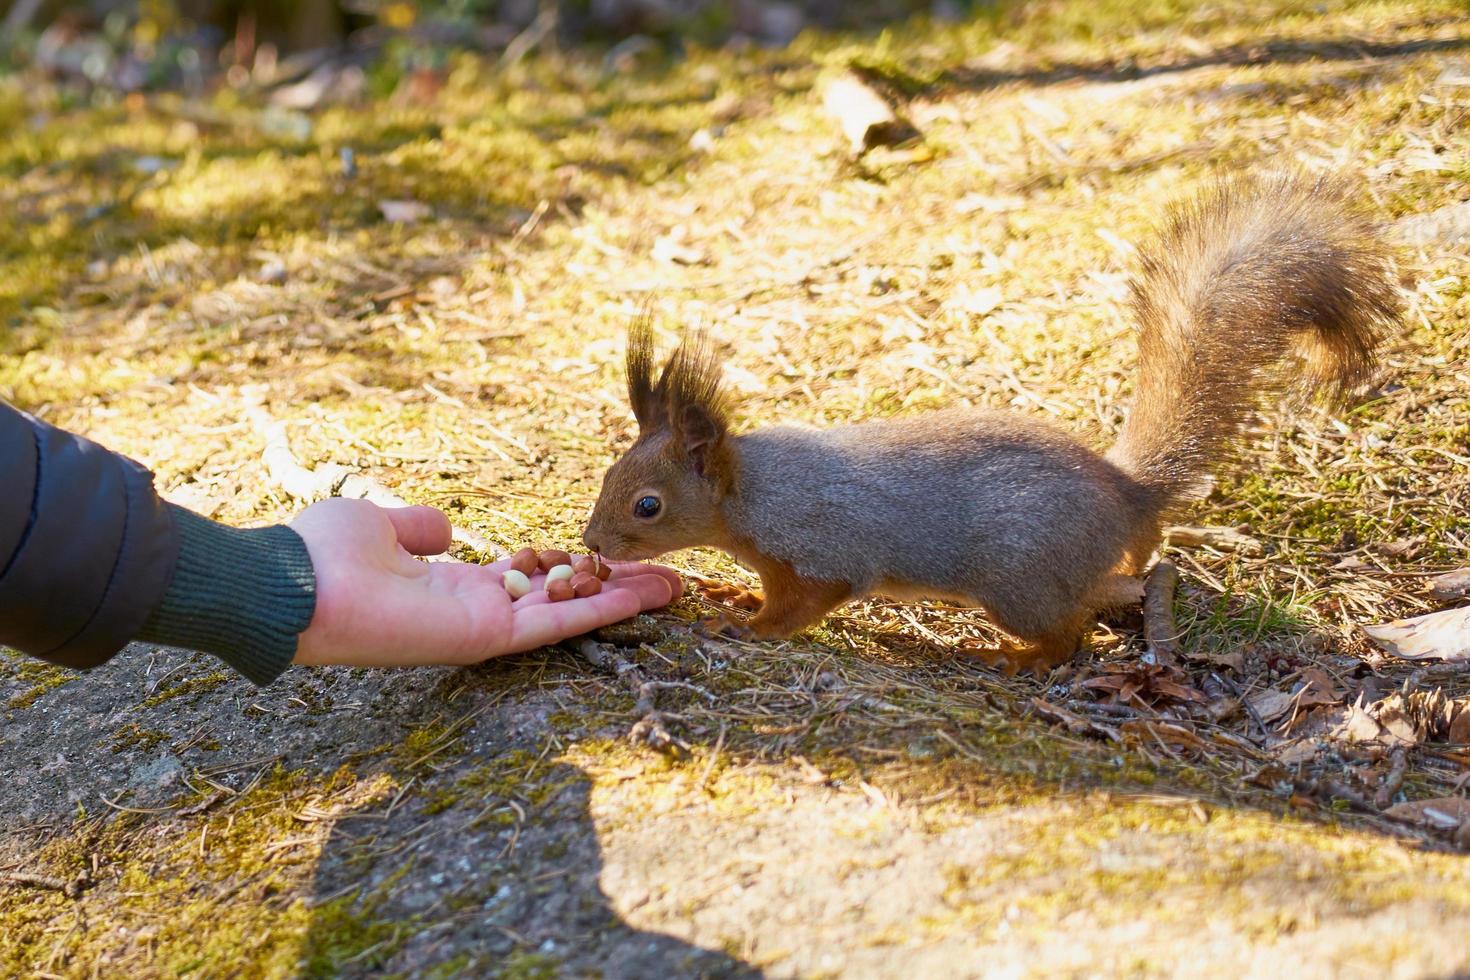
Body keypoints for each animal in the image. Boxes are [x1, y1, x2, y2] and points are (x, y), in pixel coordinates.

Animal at [582, 172, 1399, 669]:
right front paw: (734, 594)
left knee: (1069, 632)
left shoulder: (824, 547)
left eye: (647, 506)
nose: (591, 545)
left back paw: (1019, 659)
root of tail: (1126, 495)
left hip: (1016, 579)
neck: (752, 493)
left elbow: (803, 606)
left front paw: (746, 625)